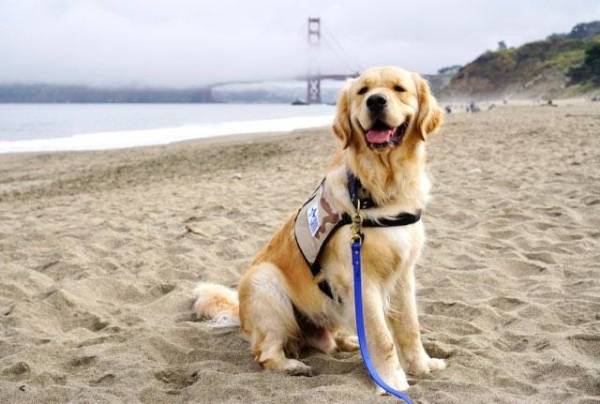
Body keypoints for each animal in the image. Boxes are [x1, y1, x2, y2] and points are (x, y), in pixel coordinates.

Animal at [192, 67, 446, 394]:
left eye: (399, 89)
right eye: (363, 91)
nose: (376, 101)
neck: (381, 185)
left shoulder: (404, 273)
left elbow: (409, 327)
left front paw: (423, 366)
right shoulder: (360, 279)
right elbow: (382, 338)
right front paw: (392, 382)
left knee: (332, 341)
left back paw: (350, 342)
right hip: (265, 283)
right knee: (265, 352)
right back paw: (292, 366)